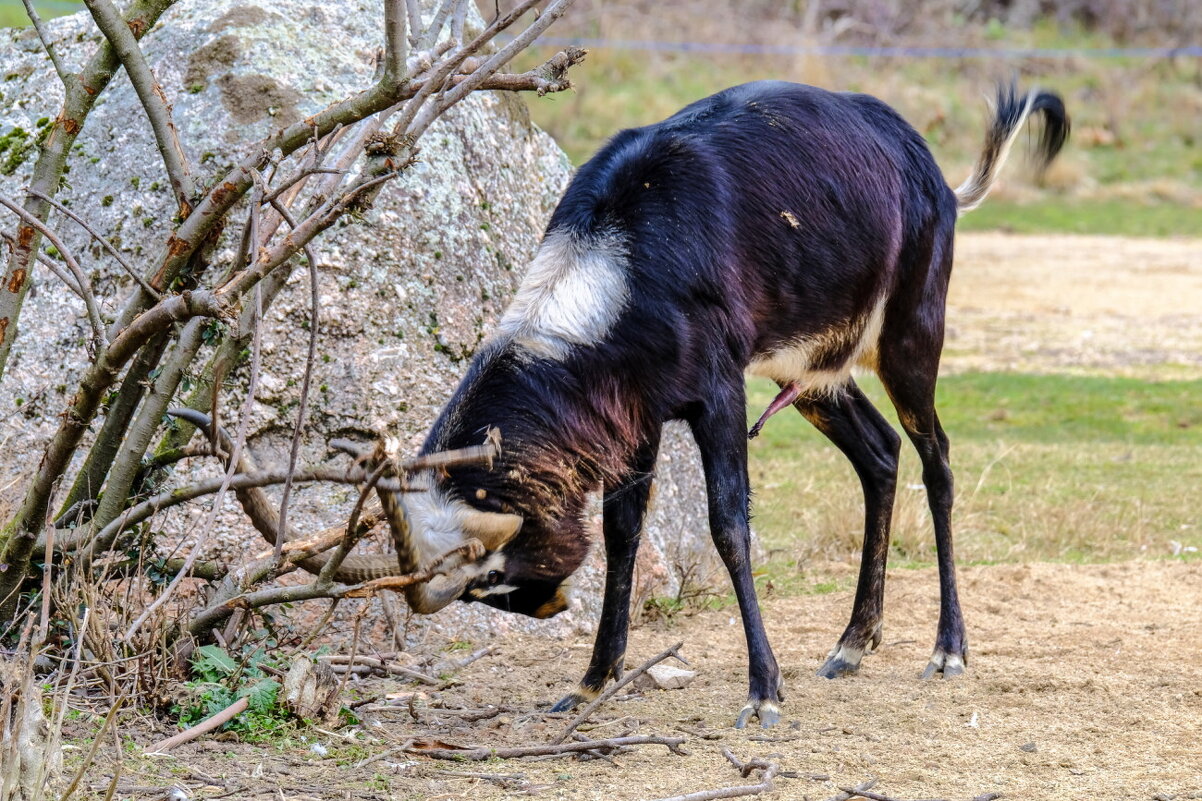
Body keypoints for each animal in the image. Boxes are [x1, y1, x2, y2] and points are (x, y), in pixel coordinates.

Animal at [331, 79, 1072, 721]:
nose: (550, 606)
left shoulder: (720, 396)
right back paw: (852, 643)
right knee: (881, 454)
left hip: (909, 340)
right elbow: (623, 531)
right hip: (811, 375)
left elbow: (728, 525)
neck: (629, 252)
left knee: (936, 459)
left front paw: (764, 691)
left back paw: (948, 649)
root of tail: (931, 172)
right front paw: (592, 680)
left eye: (491, 576)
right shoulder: (635, 419)